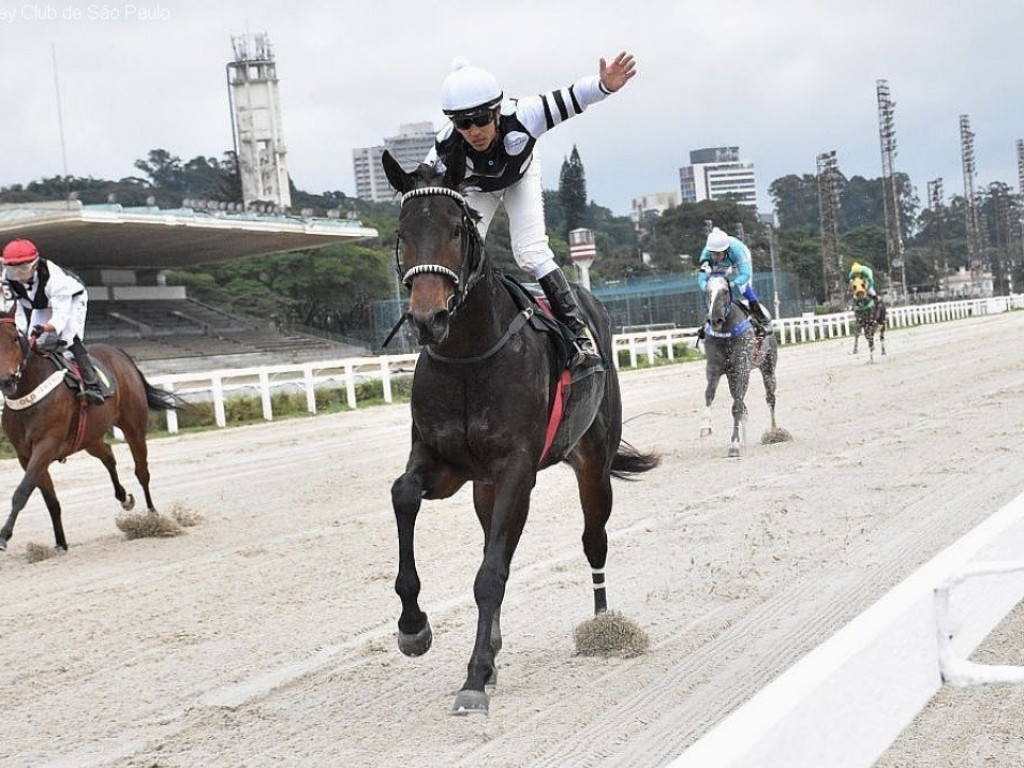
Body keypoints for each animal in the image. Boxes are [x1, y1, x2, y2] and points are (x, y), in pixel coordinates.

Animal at [0, 307, 180, 552]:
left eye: (14, 339)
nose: (7, 381)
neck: (29, 395)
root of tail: (121, 354)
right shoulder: (25, 455)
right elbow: (50, 500)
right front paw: (60, 543)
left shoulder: (46, 445)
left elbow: (22, 492)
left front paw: (3, 536)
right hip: (89, 437)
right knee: (108, 455)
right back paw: (124, 498)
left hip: (133, 427)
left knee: (142, 471)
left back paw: (153, 516)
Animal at [380, 148, 659, 716]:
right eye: (403, 231)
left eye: (457, 231)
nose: (427, 317)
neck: (469, 354)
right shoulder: (443, 464)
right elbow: (403, 495)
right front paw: (414, 627)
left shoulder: (517, 468)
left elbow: (491, 575)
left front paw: (473, 677)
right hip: (485, 488)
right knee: (497, 539)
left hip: (592, 463)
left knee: (593, 540)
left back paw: (602, 625)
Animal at [700, 274, 786, 456]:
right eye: (708, 292)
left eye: (725, 291)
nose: (715, 319)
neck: (726, 332)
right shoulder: (714, 368)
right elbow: (709, 394)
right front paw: (705, 427)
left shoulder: (742, 368)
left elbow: (737, 406)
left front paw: (734, 444)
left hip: (768, 368)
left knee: (770, 398)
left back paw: (774, 432)